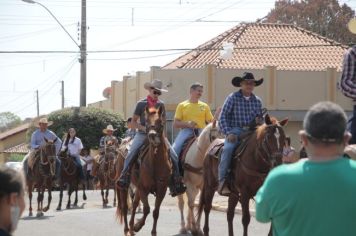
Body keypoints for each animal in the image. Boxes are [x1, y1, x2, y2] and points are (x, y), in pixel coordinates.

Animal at [117, 106, 171, 235]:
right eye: (146, 122)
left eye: (161, 122)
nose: (152, 135)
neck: (155, 163)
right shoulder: (143, 188)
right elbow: (147, 209)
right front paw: (138, 226)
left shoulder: (162, 189)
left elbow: (155, 211)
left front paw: (152, 232)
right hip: (124, 186)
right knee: (125, 207)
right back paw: (127, 229)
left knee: (135, 204)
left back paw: (131, 228)